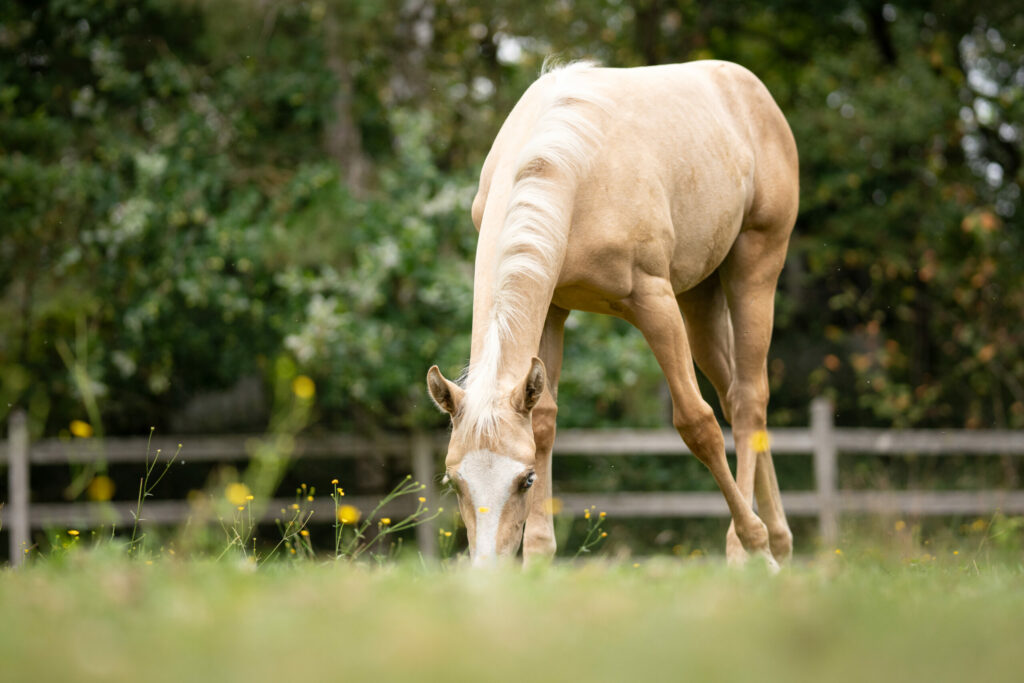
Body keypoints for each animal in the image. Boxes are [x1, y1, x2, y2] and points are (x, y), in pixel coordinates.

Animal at [423, 61, 798, 569]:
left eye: (525, 479)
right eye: (454, 481)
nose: (488, 571)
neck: (570, 167)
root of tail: (748, 87)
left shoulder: (654, 302)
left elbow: (697, 424)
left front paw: (754, 544)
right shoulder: (552, 308)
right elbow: (544, 423)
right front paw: (538, 559)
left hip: (754, 268)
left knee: (748, 400)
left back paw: (752, 548)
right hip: (699, 297)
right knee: (734, 394)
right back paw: (780, 539)